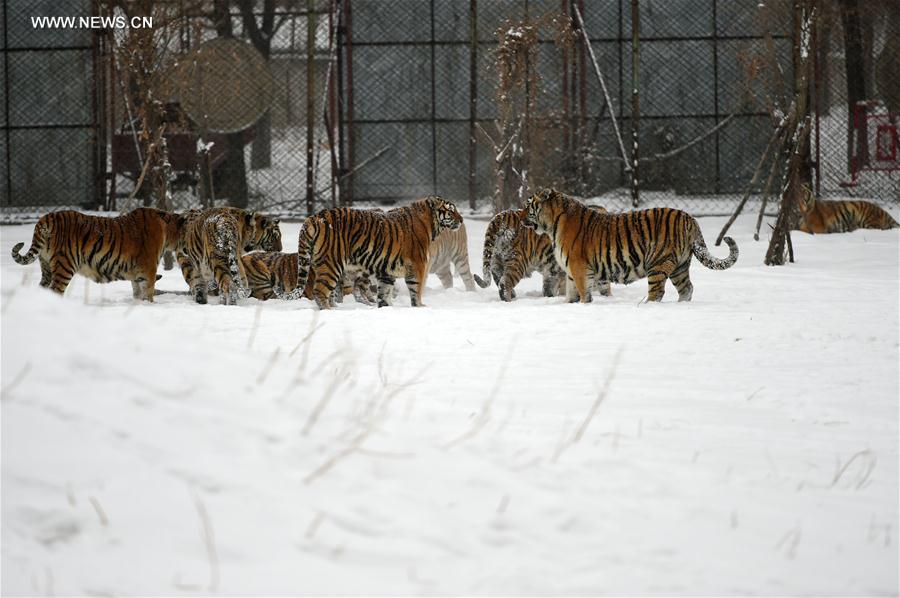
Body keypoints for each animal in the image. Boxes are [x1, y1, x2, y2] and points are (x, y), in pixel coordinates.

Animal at [10, 209, 185, 302]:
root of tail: (46, 218)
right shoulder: (148, 270)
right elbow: (148, 291)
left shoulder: (137, 274)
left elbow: (137, 292)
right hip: (64, 266)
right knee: (55, 290)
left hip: (46, 267)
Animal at [298, 197, 464, 310]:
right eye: (451, 211)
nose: (462, 220)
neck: (431, 225)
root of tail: (315, 217)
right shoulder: (418, 265)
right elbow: (416, 289)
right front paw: (419, 306)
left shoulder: (387, 270)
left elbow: (384, 293)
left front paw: (386, 308)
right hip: (332, 263)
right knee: (320, 291)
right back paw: (329, 311)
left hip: (321, 263)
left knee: (327, 293)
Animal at [472, 206, 612, 302]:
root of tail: (502, 215)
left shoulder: (552, 271)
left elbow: (550, 286)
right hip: (518, 262)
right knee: (505, 282)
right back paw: (508, 299)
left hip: (496, 259)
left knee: (497, 276)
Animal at [520, 189, 740, 302]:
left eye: (528, 205)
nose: (520, 218)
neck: (552, 225)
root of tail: (689, 218)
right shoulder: (572, 271)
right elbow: (571, 293)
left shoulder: (579, 268)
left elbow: (583, 293)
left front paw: (584, 304)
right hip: (680, 266)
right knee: (687, 289)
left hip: (658, 263)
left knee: (657, 292)